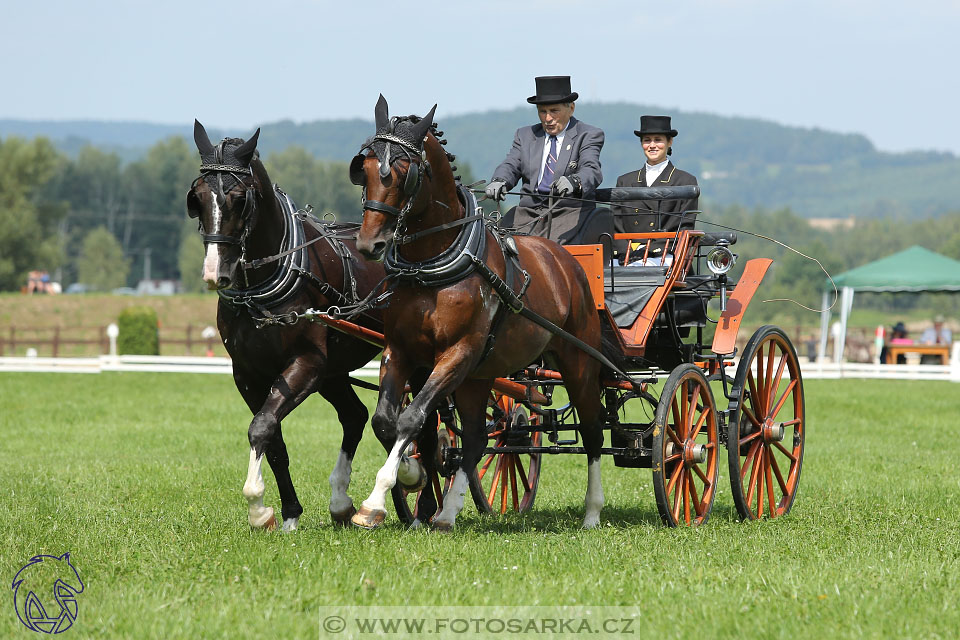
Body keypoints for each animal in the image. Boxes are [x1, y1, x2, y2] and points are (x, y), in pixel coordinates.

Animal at [188, 120, 412, 528]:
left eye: (239, 198)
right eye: (196, 197)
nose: (216, 273)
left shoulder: (306, 363)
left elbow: (261, 426)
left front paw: (257, 505)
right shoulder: (248, 372)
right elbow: (272, 437)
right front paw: (286, 514)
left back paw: (410, 501)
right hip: (334, 371)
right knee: (355, 416)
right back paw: (342, 503)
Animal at [348, 96, 604, 528]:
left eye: (403, 173)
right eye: (363, 168)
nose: (370, 245)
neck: (430, 267)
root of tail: (565, 259)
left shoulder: (458, 352)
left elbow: (412, 418)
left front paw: (377, 500)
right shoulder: (401, 350)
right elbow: (386, 421)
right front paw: (413, 475)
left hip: (578, 361)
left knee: (593, 430)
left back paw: (592, 513)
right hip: (480, 375)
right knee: (476, 439)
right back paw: (448, 513)